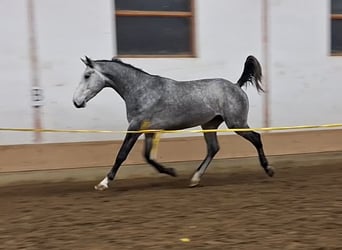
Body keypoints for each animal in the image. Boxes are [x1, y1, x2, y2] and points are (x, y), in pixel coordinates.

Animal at [73, 55, 274, 190]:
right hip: (209, 124)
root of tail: (236, 86)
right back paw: (194, 179)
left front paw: (103, 183)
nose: (76, 102)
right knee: (213, 148)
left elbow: (122, 154)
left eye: (87, 75)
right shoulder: (150, 131)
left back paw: (269, 169)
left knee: (256, 138)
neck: (141, 90)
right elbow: (148, 157)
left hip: (236, 123)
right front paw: (171, 171)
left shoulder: (135, 127)